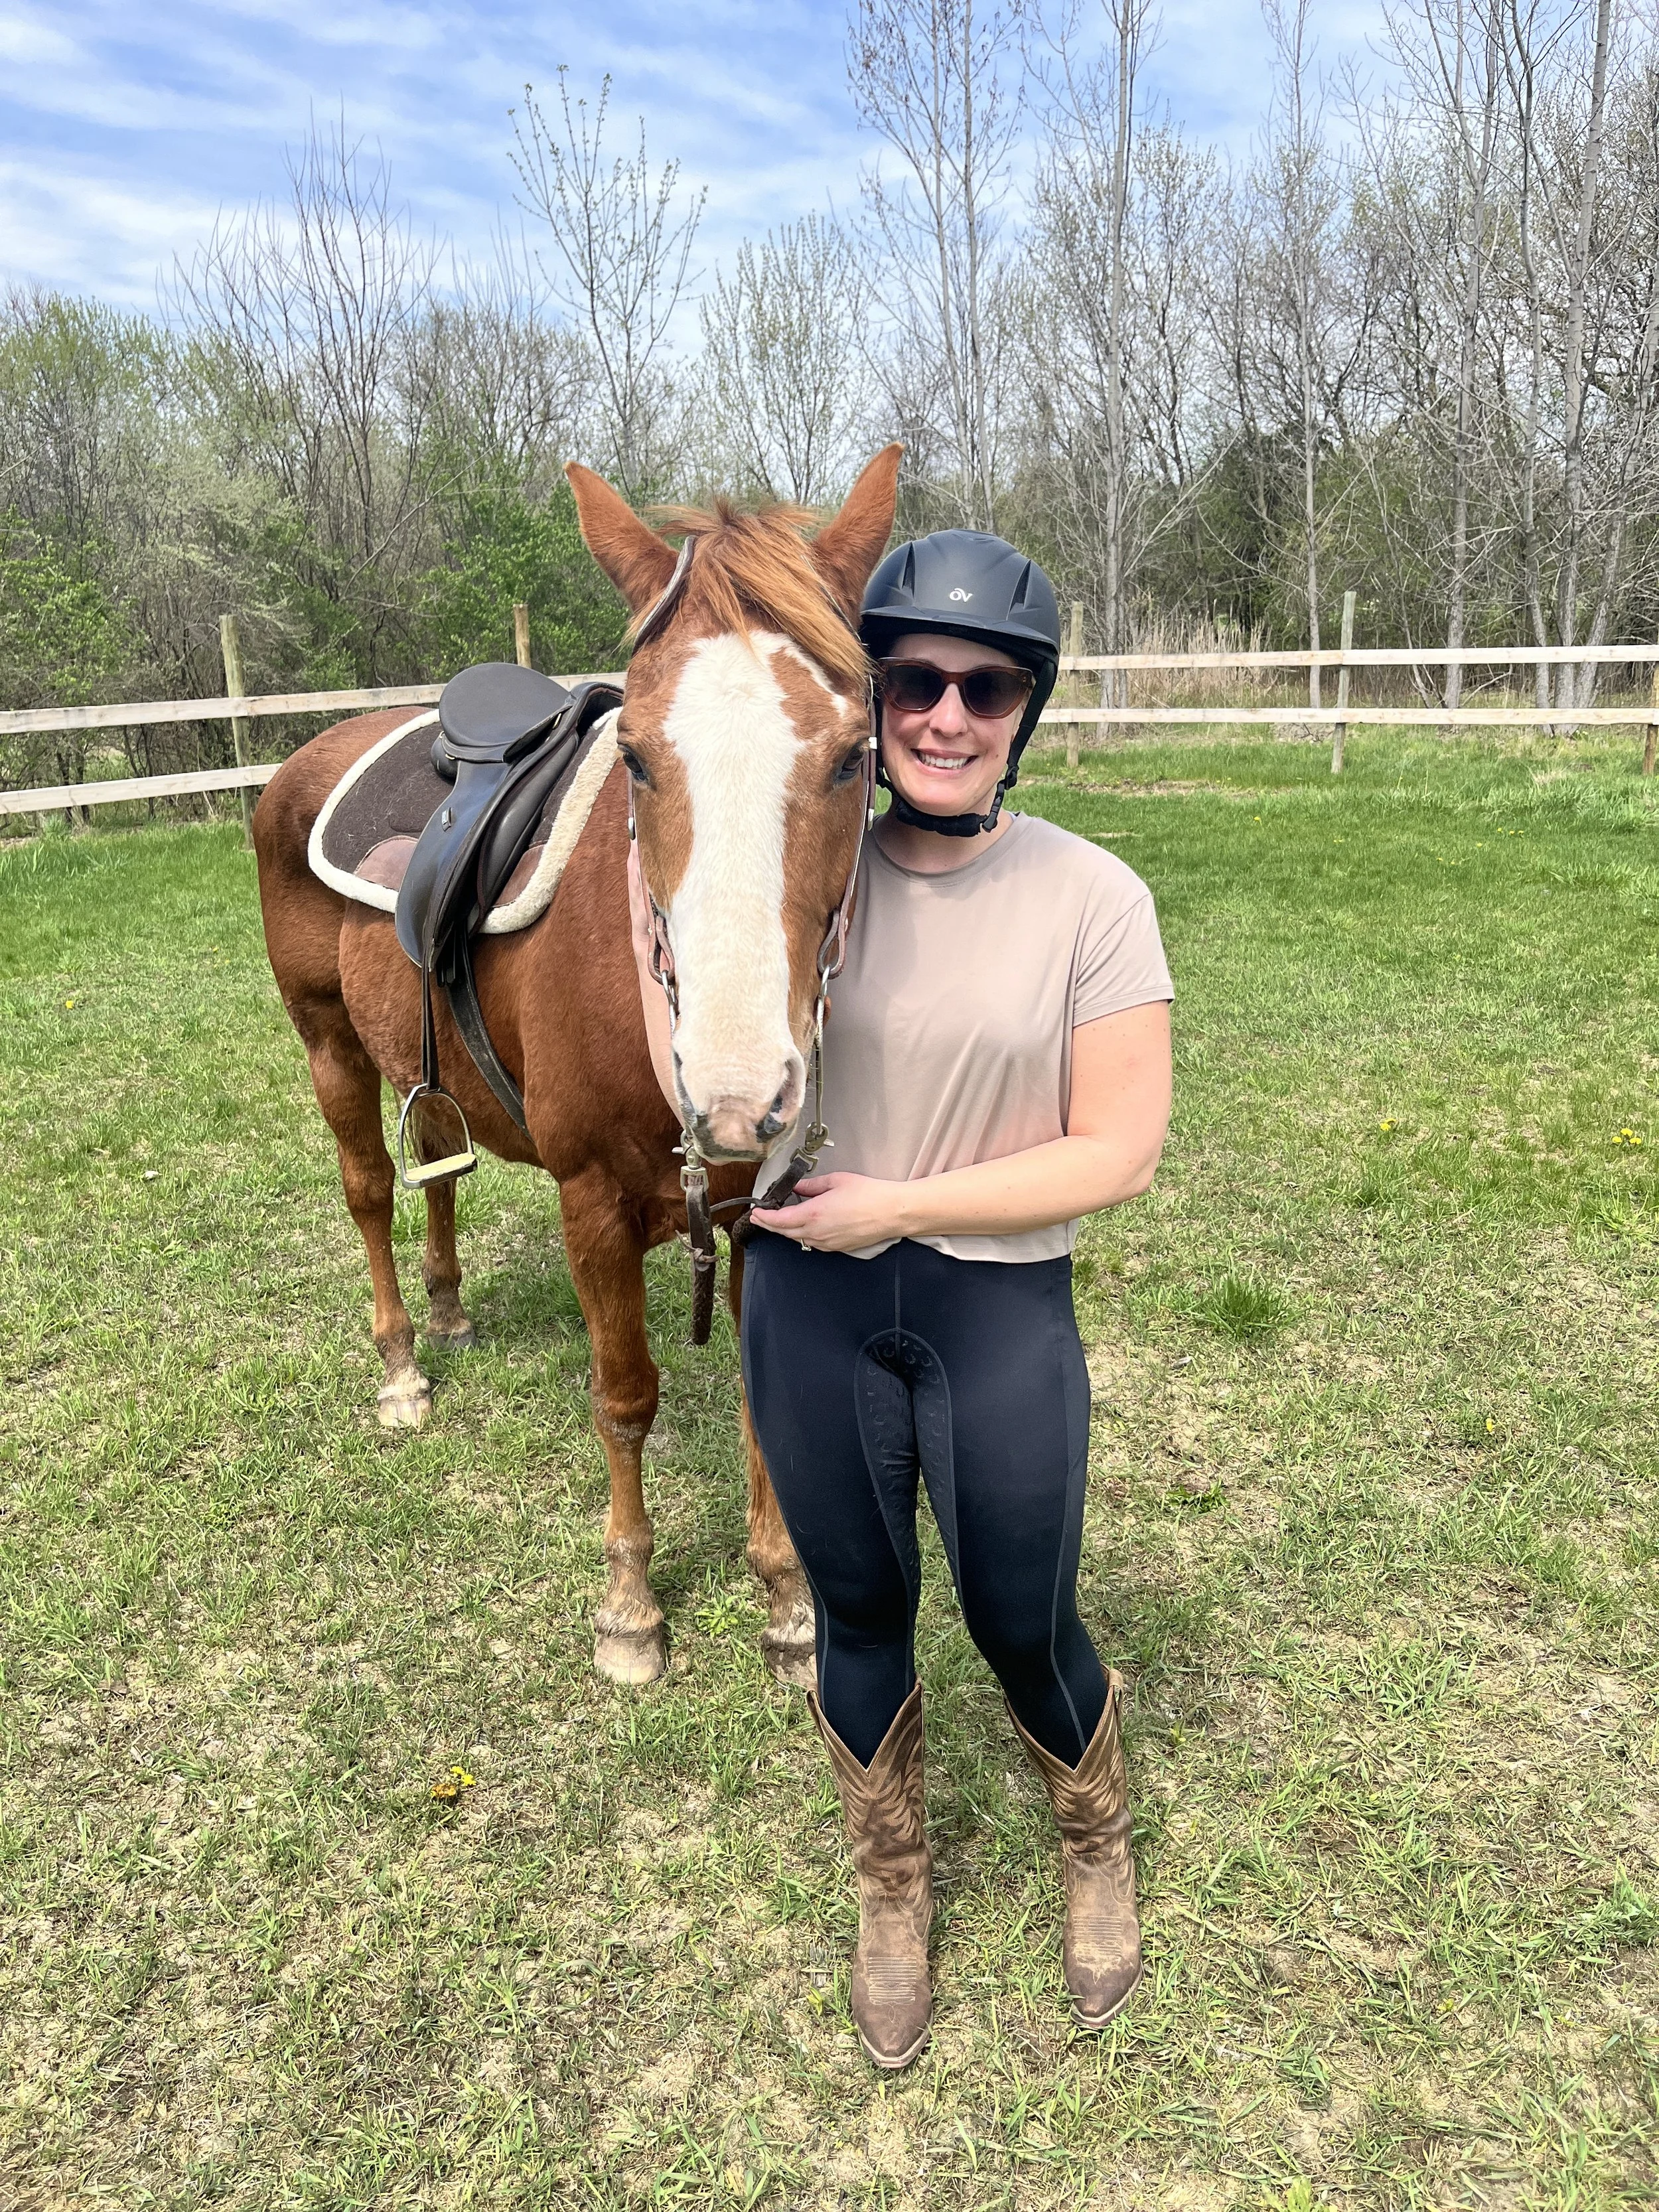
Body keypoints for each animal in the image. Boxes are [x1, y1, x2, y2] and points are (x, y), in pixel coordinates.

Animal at [252, 446, 901, 1688]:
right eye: (637, 757)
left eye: (855, 755)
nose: (739, 1092)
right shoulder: (593, 1203)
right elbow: (626, 1398)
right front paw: (631, 1609)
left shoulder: (760, 1212)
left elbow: (763, 1402)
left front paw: (790, 1602)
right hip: (326, 1043)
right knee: (370, 1193)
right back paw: (402, 1365)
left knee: (435, 1171)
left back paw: (450, 1310)